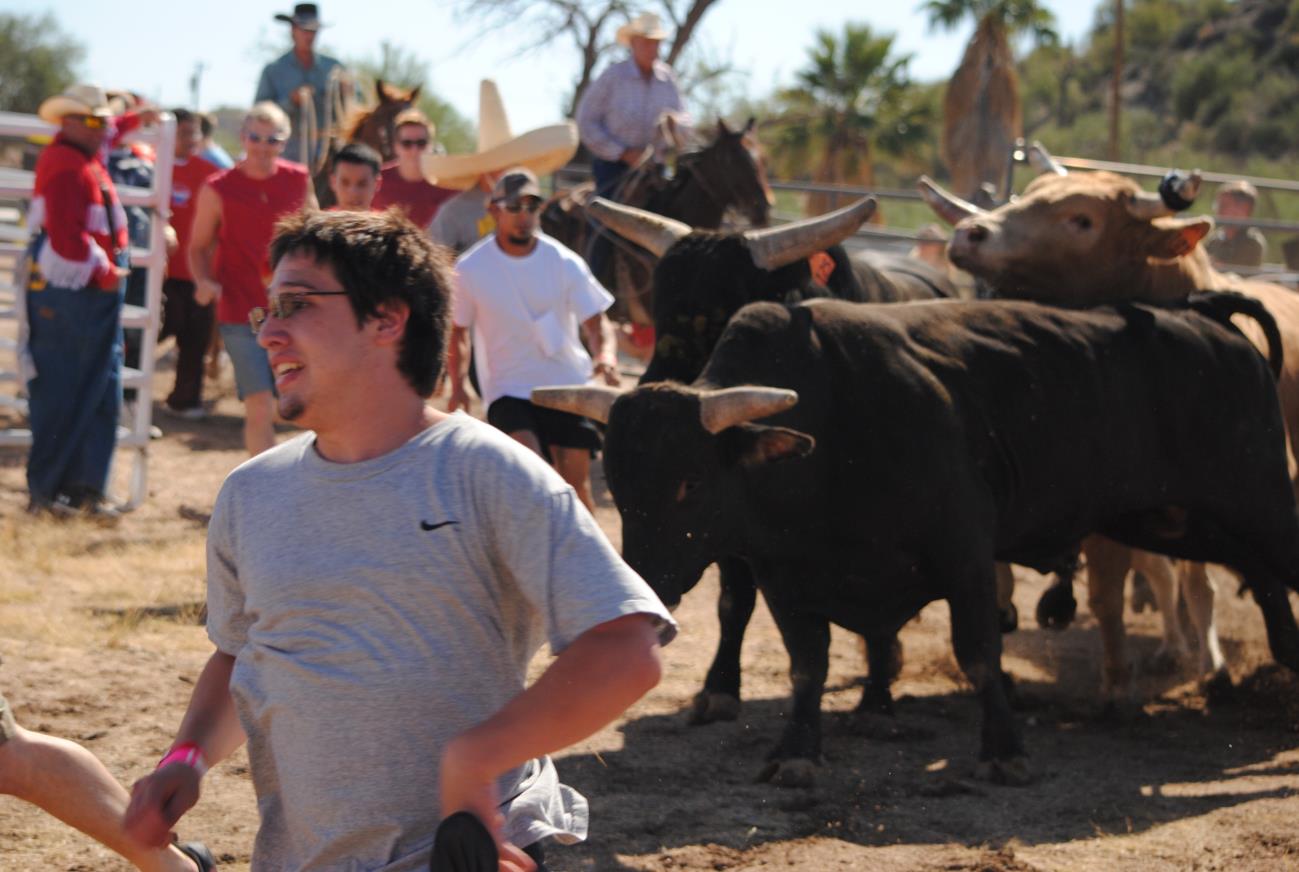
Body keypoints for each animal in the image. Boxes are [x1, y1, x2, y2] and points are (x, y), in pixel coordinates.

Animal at [535, 293, 1299, 784]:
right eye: (618, 484)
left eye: (689, 483)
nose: (643, 585)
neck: (833, 435)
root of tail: (1205, 317)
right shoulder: (785, 576)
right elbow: (808, 666)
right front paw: (797, 750)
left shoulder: (965, 556)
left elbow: (980, 655)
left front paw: (1003, 750)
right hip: (1179, 521)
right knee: (1266, 588)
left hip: (1260, 504)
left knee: (1274, 579)